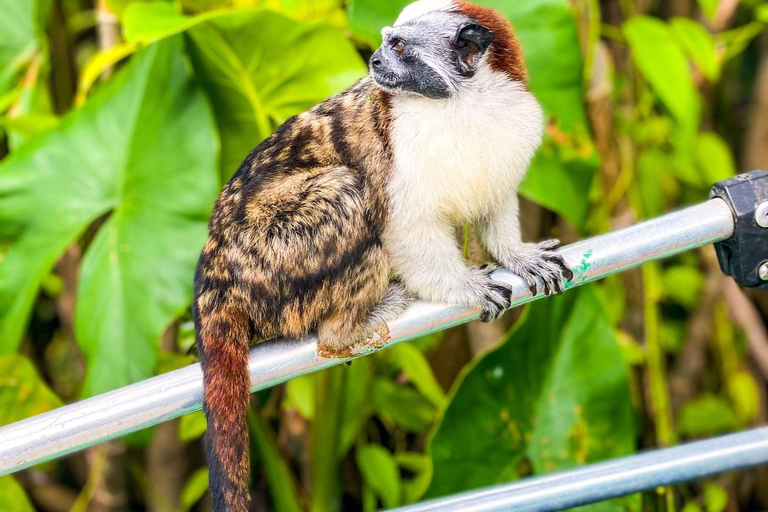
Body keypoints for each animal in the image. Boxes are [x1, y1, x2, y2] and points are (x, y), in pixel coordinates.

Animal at [195, 2, 572, 510]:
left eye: (397, 47)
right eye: (383, 42)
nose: (373, 60)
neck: (465, 106)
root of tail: (215, 269)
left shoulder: (512, 127)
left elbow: (494, 201)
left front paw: (518, 255)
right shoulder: (402, 155)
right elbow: (405, 226)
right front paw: (462, 287)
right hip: (270, 260)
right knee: (348, 194)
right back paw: (345, 330)